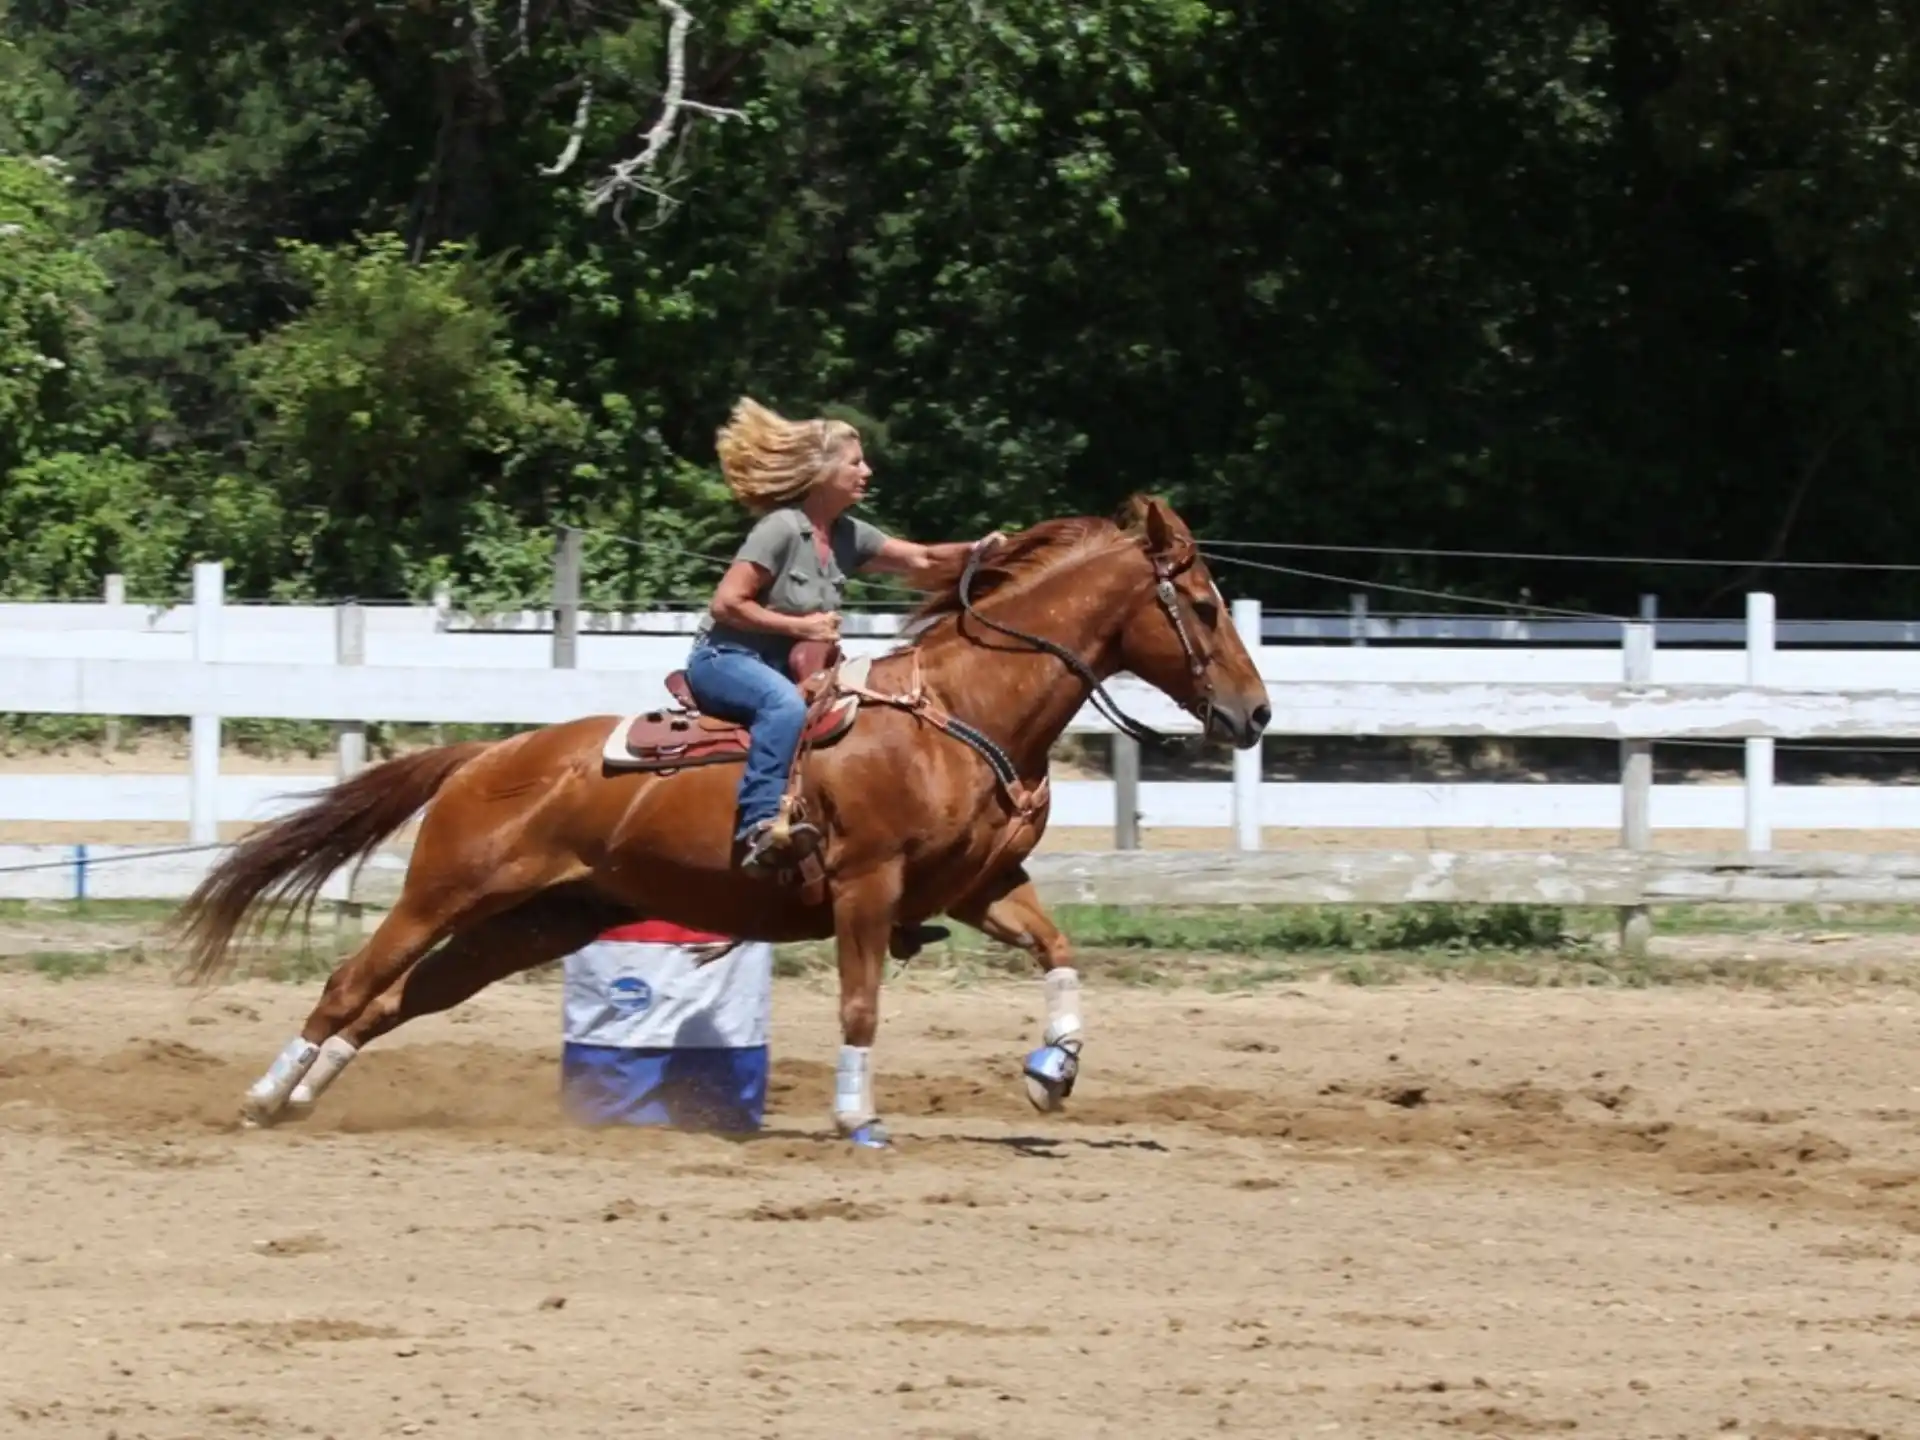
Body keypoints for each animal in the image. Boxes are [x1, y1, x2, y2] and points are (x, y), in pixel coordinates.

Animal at [171, 494, 1271, 1147]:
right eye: (1203, 604)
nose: (1255, 714)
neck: (961, 711)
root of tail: (486, 755)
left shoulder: (979, 887)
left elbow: (1059, 951)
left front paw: (1054, 1071)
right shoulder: (868, 887)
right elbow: (861, 1005)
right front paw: (855, 1115)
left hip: (534, 922)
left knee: (398, 1001)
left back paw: (306, 1099)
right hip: (445, 889)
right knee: (352, 981)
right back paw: (266, 1097)